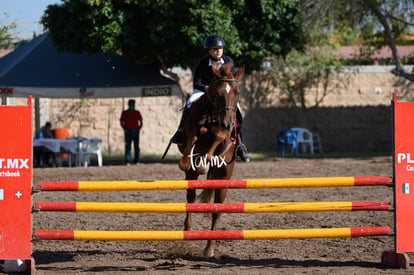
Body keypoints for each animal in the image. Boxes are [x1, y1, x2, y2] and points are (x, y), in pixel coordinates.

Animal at [177, 63, 243, 258]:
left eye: (237, 92)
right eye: (217, 92)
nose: (227, 123)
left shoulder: (223, 135)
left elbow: (217, 135)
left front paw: (204, 164)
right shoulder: (191, 127)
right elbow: (193, 134)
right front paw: (187, 161)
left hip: (223, 180)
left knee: (216, 211)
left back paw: (209, 248)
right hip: (191, 179)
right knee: (190, 198)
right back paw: (188, 229)